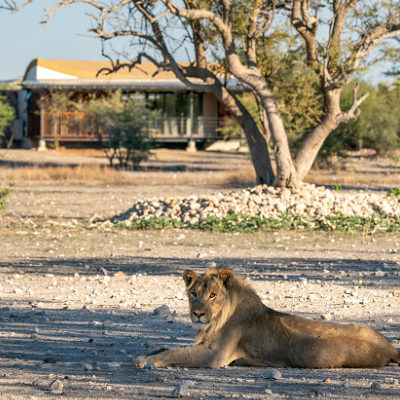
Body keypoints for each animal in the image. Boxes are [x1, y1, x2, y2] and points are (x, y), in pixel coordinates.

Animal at [138, 268, 400, 368]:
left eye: (212, 295)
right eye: (194, 294)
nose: (198, 313)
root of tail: (391, 348)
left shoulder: (214, 355)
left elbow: (175, 353)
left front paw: (143, 360)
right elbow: (165, 348)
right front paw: (149, 353)